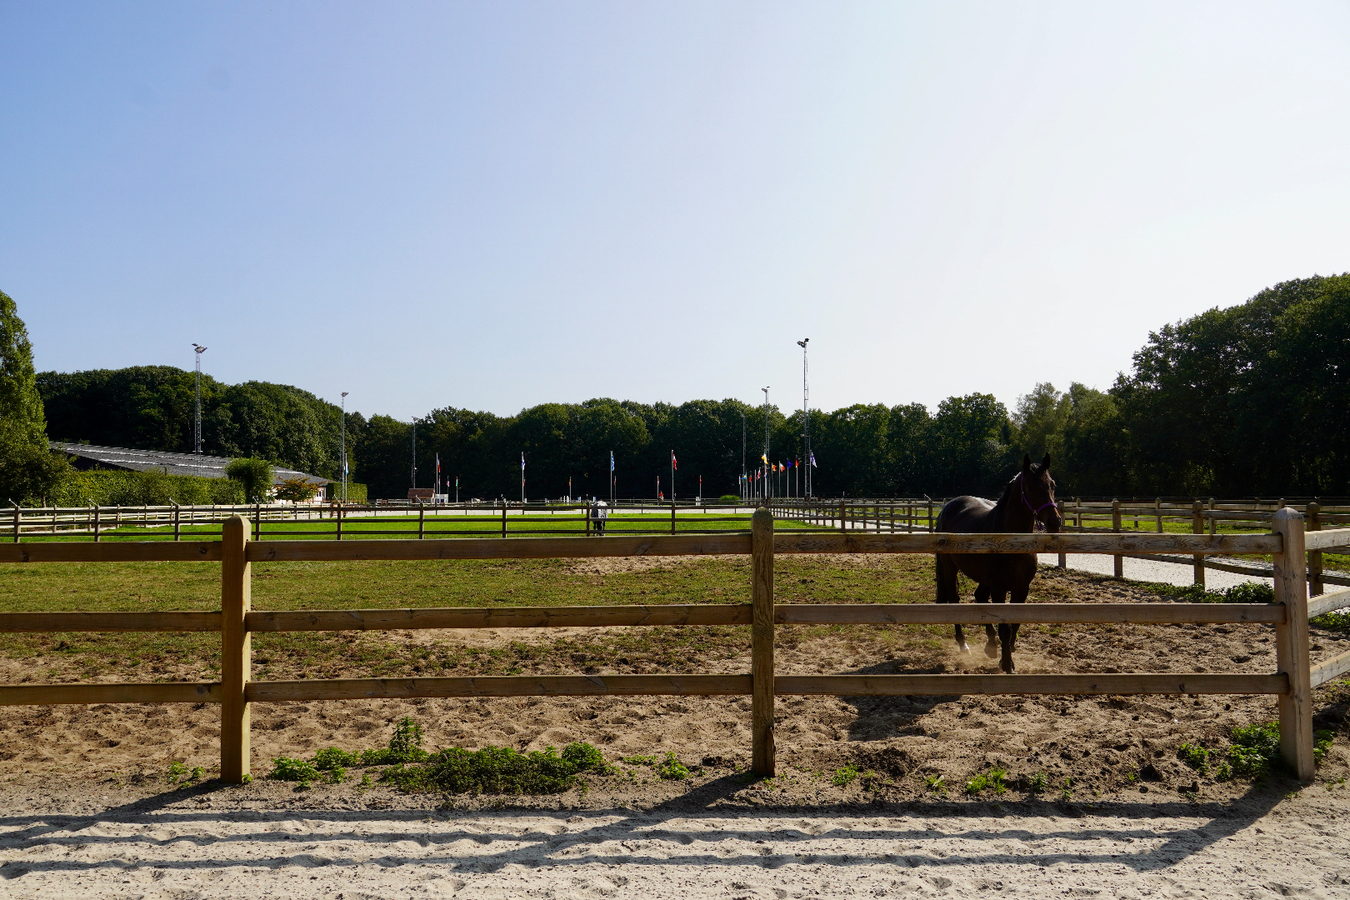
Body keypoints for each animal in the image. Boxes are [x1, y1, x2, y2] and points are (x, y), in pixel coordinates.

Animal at [934, 453, 1058, 671]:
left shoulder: (1021, 587)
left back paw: (991, 645)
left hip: (985, 580)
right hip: (950, 568)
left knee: (980, 596)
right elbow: (1005, 627)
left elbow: (1014, 624)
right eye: (1031, 486)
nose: (1055, 521)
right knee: (954, 599)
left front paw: (1007, 652)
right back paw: (964, 644)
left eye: (1052, 484)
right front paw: (1007, 663)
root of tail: (948, 506)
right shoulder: (999, 588)